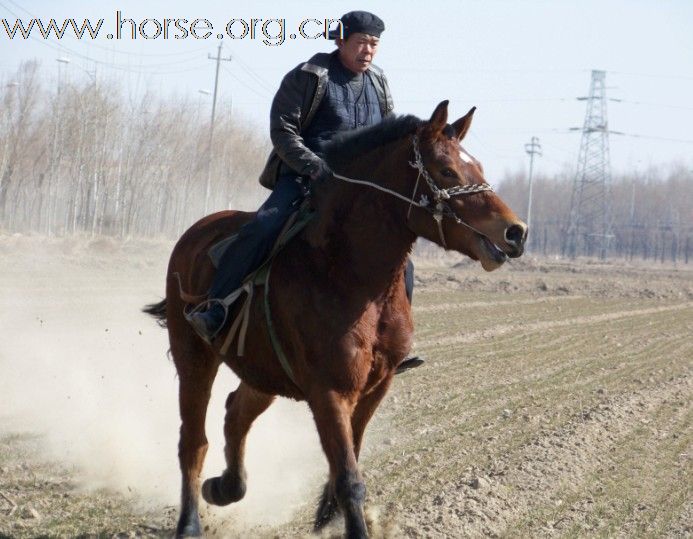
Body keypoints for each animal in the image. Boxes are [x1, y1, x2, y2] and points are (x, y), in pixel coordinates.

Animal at [145, 102, 524, 539]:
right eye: (446, 170)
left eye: (476, 165)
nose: (516, 232)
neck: (347, 274)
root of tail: (194, 235)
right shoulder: (330, 393)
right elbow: (348, 478)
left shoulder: (376, 386)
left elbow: (349, 460)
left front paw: (328, 512)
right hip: (194, 359)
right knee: (193, 441)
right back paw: (189, 523)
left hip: (264, 376)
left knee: (236, 413)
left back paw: (225, 488)